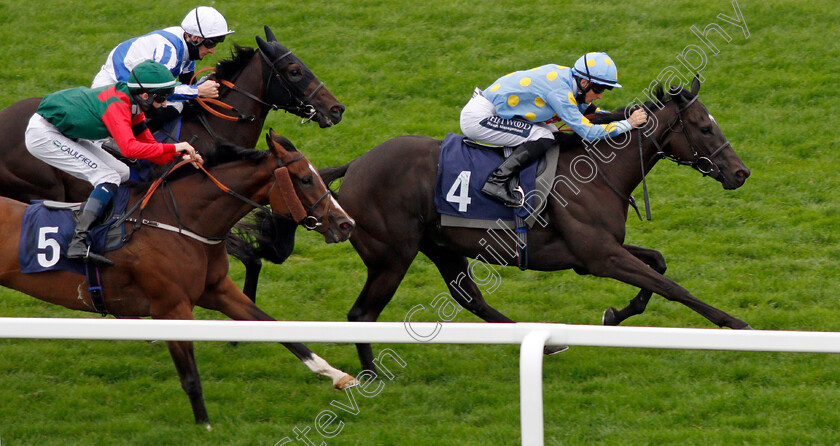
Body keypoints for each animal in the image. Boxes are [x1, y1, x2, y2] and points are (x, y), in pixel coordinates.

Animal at [0, 129, 354, 426]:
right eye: (305, 179)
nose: (345, 223)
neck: (179, 221)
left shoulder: (218, 290)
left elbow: (277, 328)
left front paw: (336, 374)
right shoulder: (171, 308)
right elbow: (191, 377)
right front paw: (205, 427)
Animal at [306, 79, 752, 372]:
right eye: (705, 127)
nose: (740, 173)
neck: (599, 172)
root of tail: (355, 165)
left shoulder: (595, 253)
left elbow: (657, 264)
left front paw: (615, 313)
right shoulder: (600, 256)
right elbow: (673, 287)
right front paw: (736, 324)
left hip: (440, 245)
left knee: (471, 299)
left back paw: (544, 346)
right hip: (392, 256)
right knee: (362, 314)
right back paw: (369, 376)